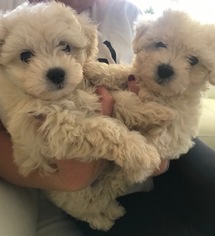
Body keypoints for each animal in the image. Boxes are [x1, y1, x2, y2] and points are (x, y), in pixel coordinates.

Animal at [0, 0, 161, 231]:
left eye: (66, 47)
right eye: (25, 56)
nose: (56, 73)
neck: (66, 95)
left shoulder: (93, 93)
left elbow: (122, 101)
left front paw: (156, 111)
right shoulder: (62, 130)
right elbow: (106, 130)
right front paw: (143, 153)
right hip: (74, 196)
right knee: (89, 207)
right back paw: (104, 218)